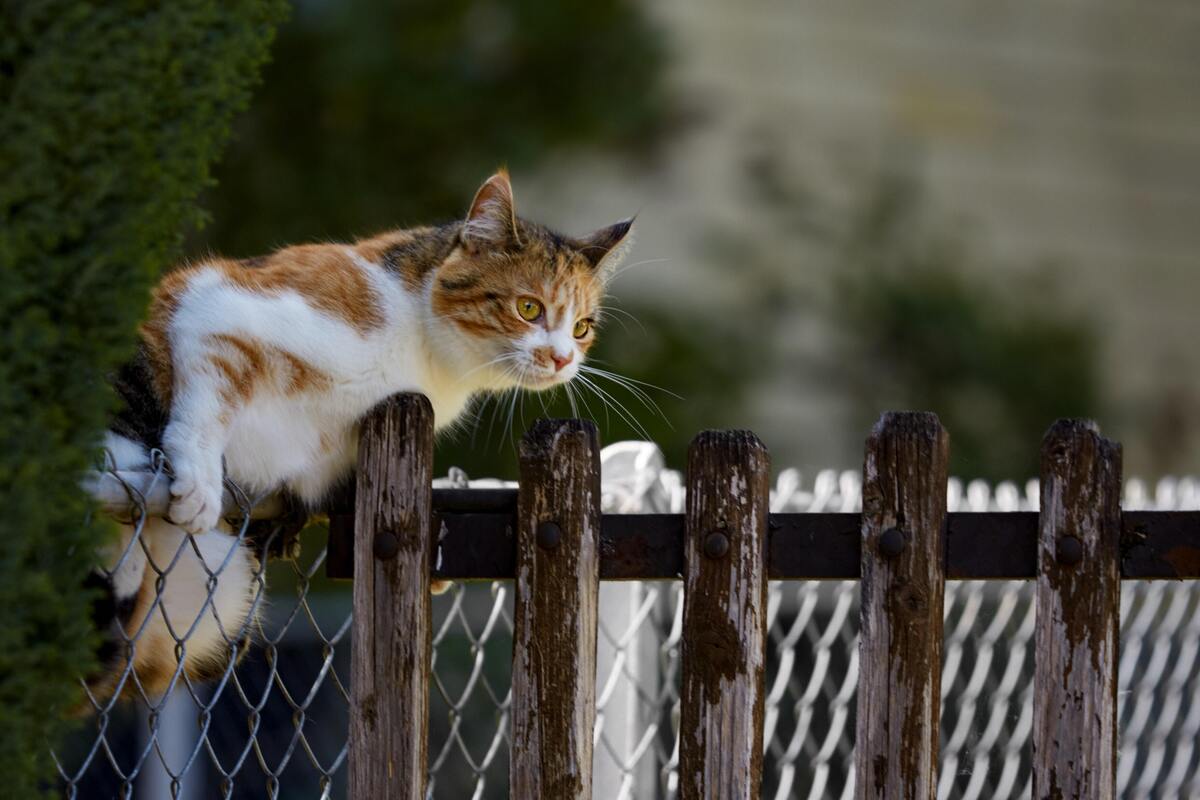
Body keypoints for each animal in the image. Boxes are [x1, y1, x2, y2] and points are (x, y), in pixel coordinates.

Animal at [88, 172, 633, 705]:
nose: (562, 358)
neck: (420, 338)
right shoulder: (218, 308)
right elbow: (207, 398)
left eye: (582, 327)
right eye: (528, 307)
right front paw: (200, 486)